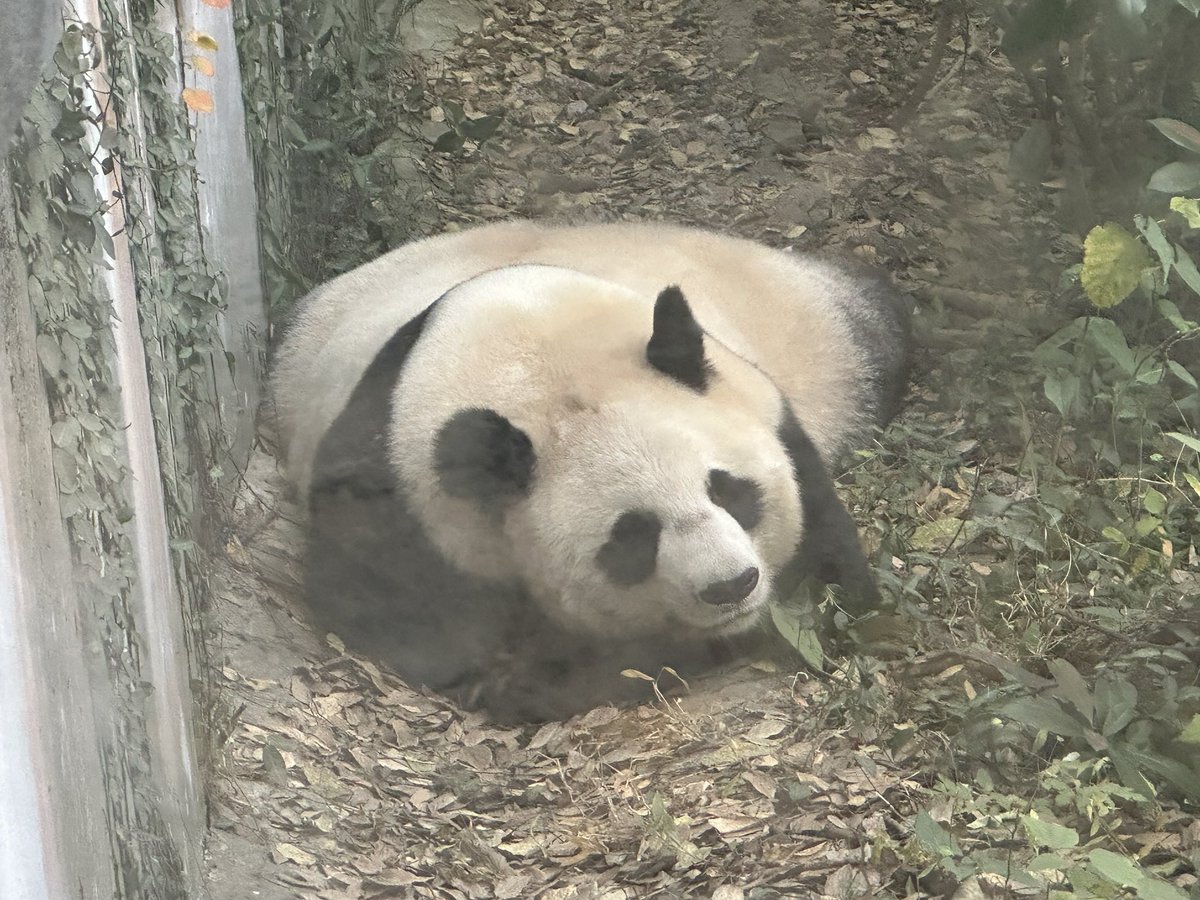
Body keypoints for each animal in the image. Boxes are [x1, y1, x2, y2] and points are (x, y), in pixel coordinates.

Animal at [271, 220, 911, 722]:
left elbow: (828, 575)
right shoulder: (405, 494)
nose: (731, 586)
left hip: (820, 331)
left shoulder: (766, 407)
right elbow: (393, 614)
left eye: (730, 490)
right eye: (632, 537)